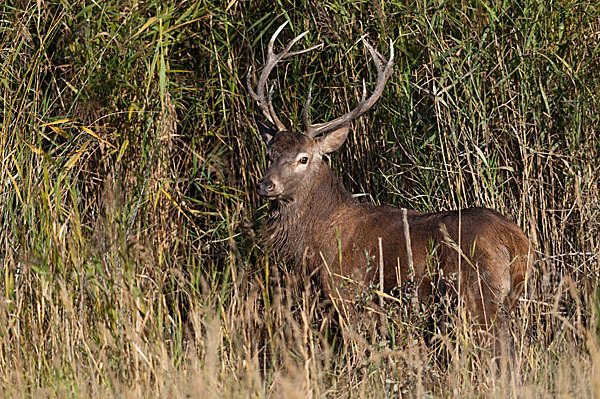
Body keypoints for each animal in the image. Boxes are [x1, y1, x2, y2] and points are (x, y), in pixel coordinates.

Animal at [248, 20, 536, 360]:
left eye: (303, 158)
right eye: (269, 153)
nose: (266, 185)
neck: (318, 238)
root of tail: (518, 244)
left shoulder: (348, 290)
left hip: (479, 294)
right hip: (509, 297)